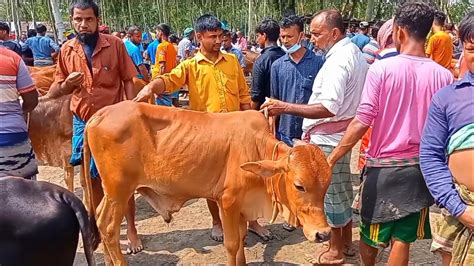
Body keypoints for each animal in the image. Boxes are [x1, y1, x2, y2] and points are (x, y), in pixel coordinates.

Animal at [83, 101, 332, 264]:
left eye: (327, 185)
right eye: (299, 185)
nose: (324, 234)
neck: (255, 147)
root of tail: (99, 114)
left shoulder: (241, 206)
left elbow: (242, 238)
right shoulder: (228, 202)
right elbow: (232, 244)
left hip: (111, 192)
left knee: (100, 220)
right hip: (119, 190)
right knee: (109, 228)